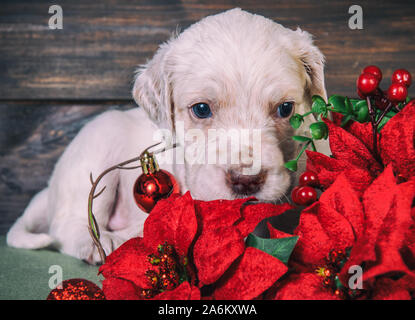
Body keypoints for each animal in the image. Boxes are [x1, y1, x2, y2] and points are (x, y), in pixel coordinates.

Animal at [5, 8, 324, 264]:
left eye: (285, 108)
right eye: (201, 109)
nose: (246, 181)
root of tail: (49, 191)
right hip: (99, 140)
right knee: (66, 226)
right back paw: (102, 242)